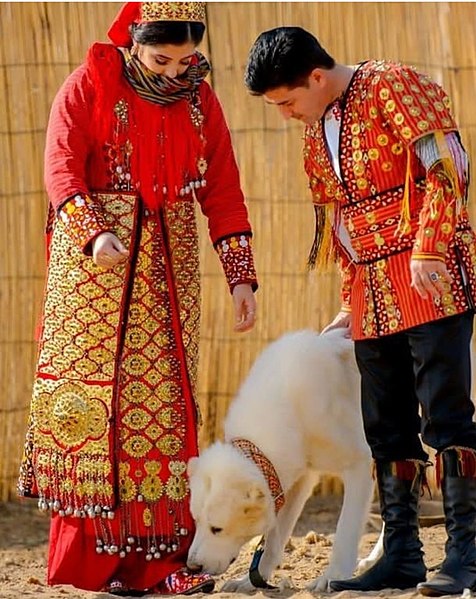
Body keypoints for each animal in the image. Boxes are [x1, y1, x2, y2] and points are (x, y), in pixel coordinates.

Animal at [188, 330, 378, 592]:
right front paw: (251, 579)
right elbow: (273, 540)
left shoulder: (360, 463)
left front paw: (332, 577)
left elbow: (345, 531)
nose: (191, 567)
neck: (290, 408)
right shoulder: (292, 479)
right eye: (196, 521)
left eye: (217, 529)